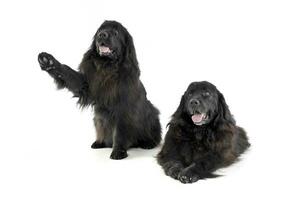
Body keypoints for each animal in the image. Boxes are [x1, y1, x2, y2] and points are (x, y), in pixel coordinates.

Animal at [37, 20, 162, 159]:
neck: (107, 67)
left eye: (116, 32)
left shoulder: (123, 108)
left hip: (151, 112)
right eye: (99, 30)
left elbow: (120, 131)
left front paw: (118, 151)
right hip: (97, 118)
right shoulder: (86, 85)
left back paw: (148, 143)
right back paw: (100, 142)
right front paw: (49, 61)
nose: (102, 35)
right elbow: (69, 73)